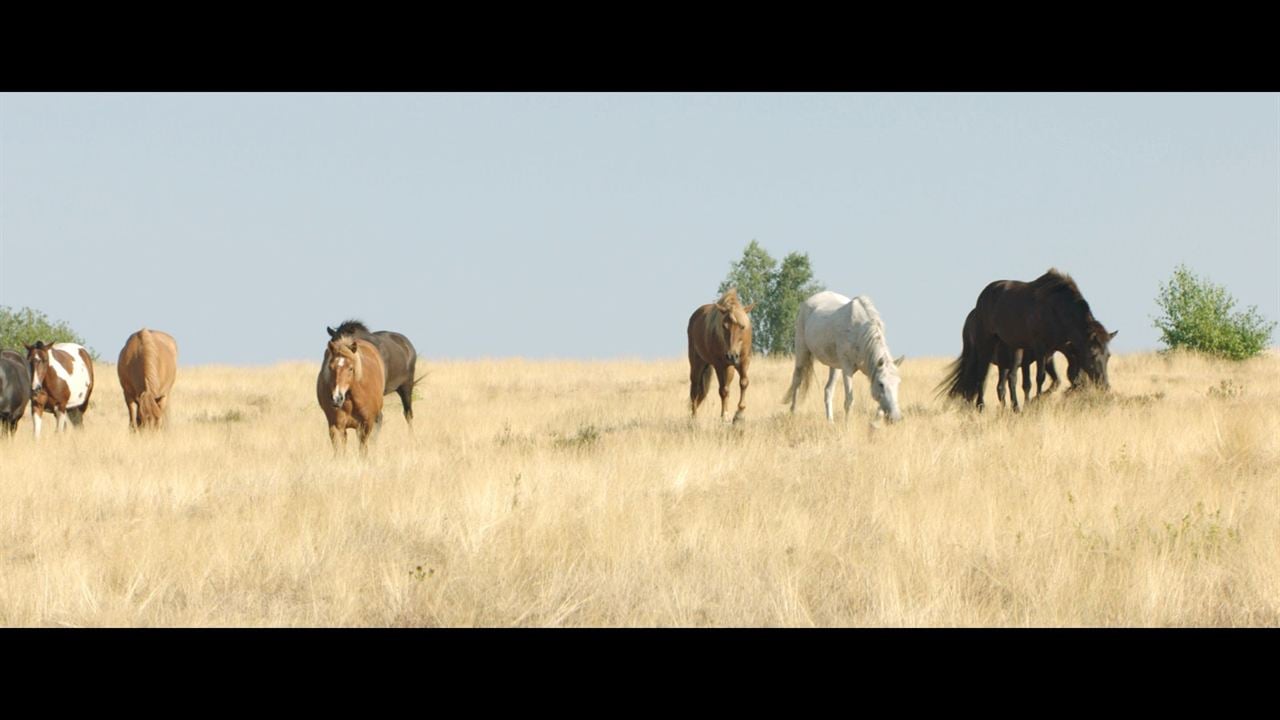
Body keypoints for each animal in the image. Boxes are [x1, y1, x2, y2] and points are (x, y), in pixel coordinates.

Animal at [686, 285, 752, 420]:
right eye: (724, 326)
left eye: (742, 326)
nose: (732, 355)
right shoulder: (720, 365)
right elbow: (723, 390)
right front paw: (724, 416)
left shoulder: (743, 362)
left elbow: (744, 383)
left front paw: (740, 412)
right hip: (697, 364)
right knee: (695, 389)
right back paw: (694, 418)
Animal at [773, 288, 906, 420]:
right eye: (881, 384)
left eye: (898, 383)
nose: (895, 417)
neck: (859, 333)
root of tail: (807, 302)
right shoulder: (847, 369)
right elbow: (849, 400)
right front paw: (847, 424)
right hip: (802, 352)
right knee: (797, 381)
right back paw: (793, 414)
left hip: (835, 366)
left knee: (828, 390)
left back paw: (830, 421)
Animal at [942, 269, 1121, 409]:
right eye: (1092, 355)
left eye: (1108, 356)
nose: (1105, 386)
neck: (1057, 309)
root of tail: (981, 299)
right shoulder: (1040, 348)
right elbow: (1039, 378)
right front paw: (1036, 402)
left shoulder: (1049, 352)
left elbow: (1049, 381)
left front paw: (1035, 401)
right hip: (986, 345)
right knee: (982, 376)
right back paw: (981, 406)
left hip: (1011, 349)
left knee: (1007, 381)